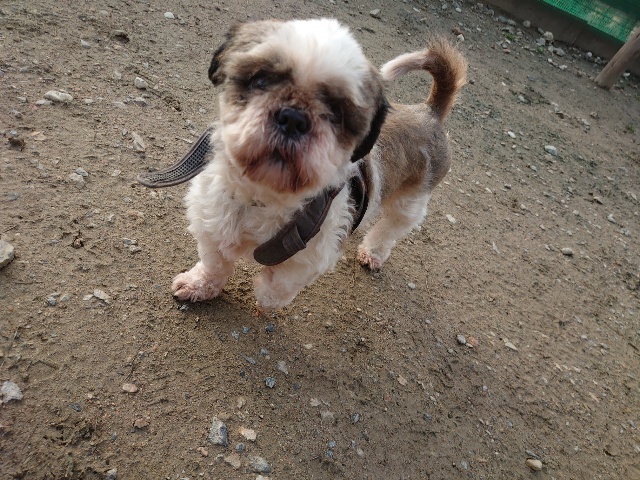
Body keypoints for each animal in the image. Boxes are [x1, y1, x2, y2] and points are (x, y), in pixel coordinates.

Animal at [171, 18, 467, 310]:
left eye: (337, 112)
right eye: (261, 79)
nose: (293, 117)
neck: (261, 198)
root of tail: (429, 112)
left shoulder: (309, 255)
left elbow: (277, 286)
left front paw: (265, 297)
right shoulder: (213, 222)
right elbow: (214, 263)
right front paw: (200, 285)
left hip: (410, 204)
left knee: (389, 229)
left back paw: (373, 252)